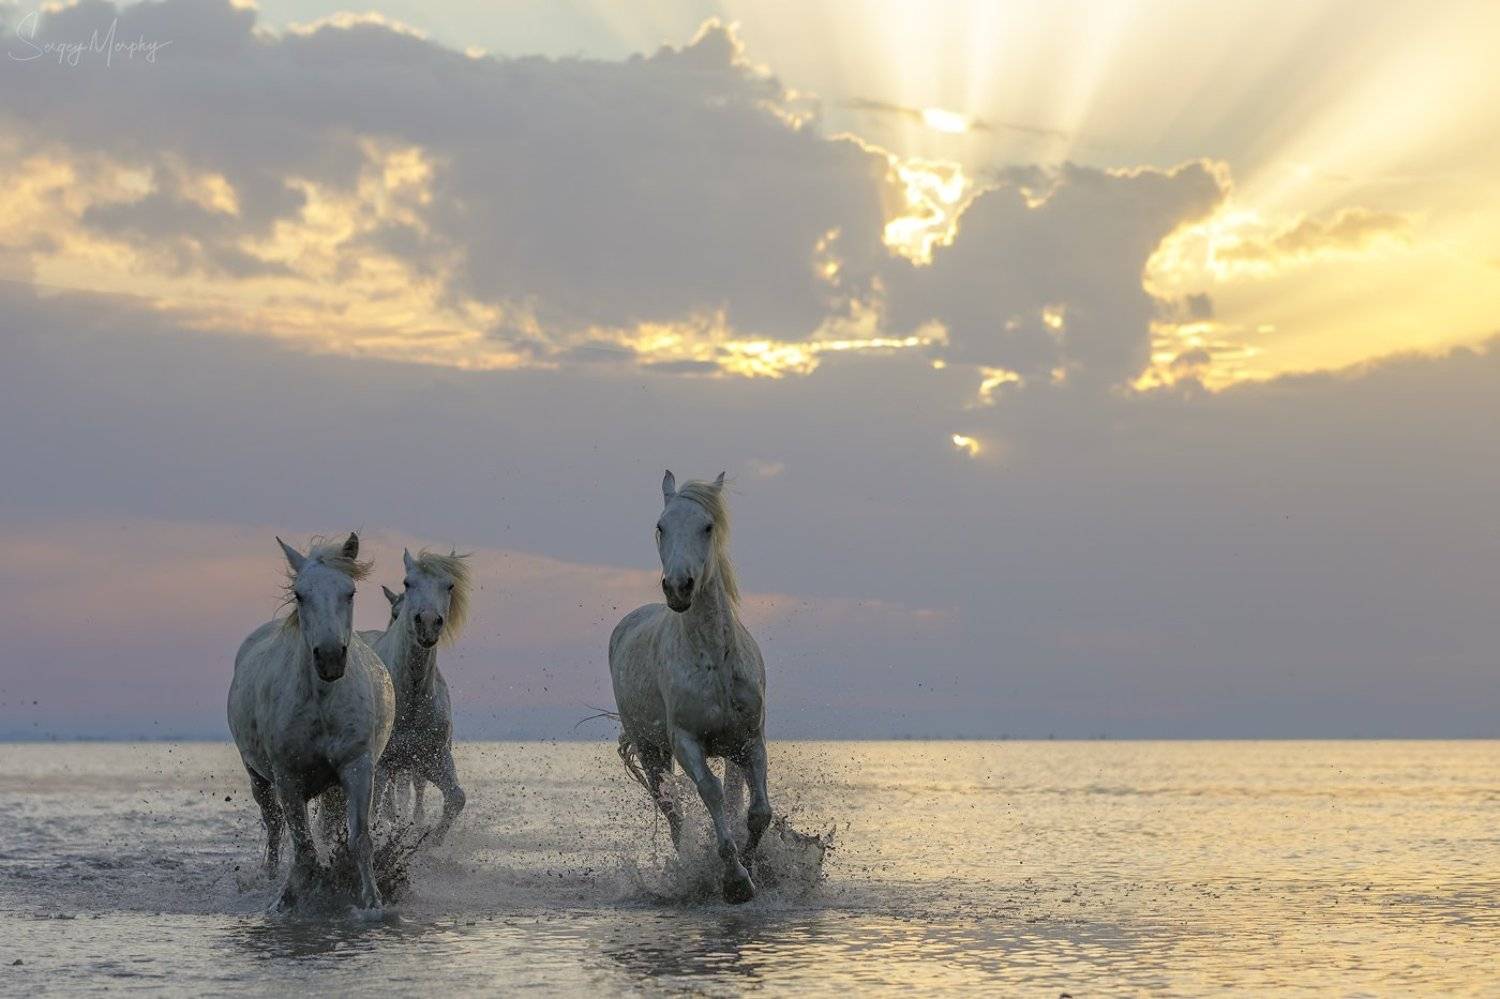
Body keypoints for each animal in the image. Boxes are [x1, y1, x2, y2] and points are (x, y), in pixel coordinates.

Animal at [227, 533, 395, 910]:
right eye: (300, 594)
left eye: (350, 592)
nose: (330, 658)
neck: (321, 703)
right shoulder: (288, 777)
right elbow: (303, 847)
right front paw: (285, 902)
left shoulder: (357, 767)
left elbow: (359, 839)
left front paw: (372, 902)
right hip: (258, 777)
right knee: (274, 826)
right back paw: (271, 875)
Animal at [373, 549, 470, 842]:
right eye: (408, 582)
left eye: (449, 585)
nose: (427, 623)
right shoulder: (382, 764)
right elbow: (376, 810)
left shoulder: (433, 758)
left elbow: (456, 798)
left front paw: (428, 843)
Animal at [609, 471, 772, 904]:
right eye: (661, 526)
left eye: (708, 526)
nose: (679, 587)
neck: (714, 660)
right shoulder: (685, 741)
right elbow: (710, 793)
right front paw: (735, 881)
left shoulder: (750, 740)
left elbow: (757, 812)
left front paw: (752, 867)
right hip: (651, 750)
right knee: (673, 813)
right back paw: (684, 868)